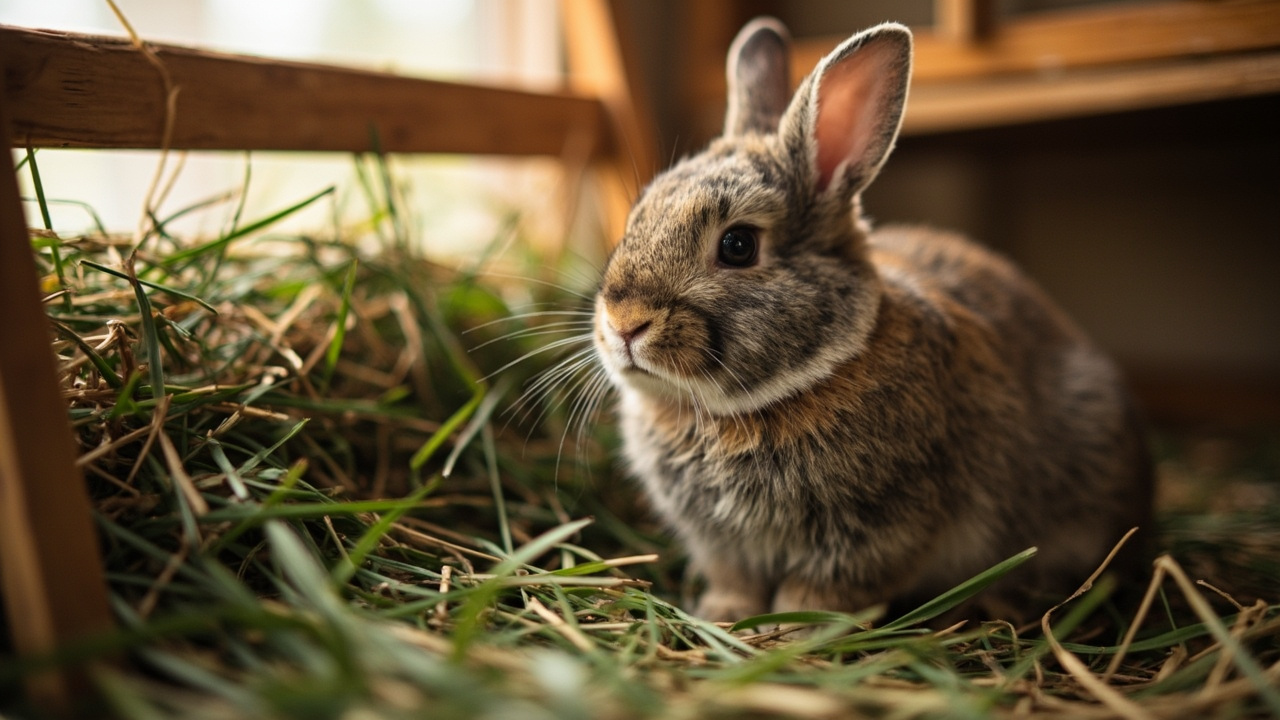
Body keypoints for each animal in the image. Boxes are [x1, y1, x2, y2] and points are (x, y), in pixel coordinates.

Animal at [589, 18, 1153, 625]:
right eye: (638, 213)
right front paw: (722, 617)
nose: (624, 323)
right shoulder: (723, 547)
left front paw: (792, 630)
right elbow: (734, 583)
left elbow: (821, 593)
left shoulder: (876, 532)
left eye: (738, 245)